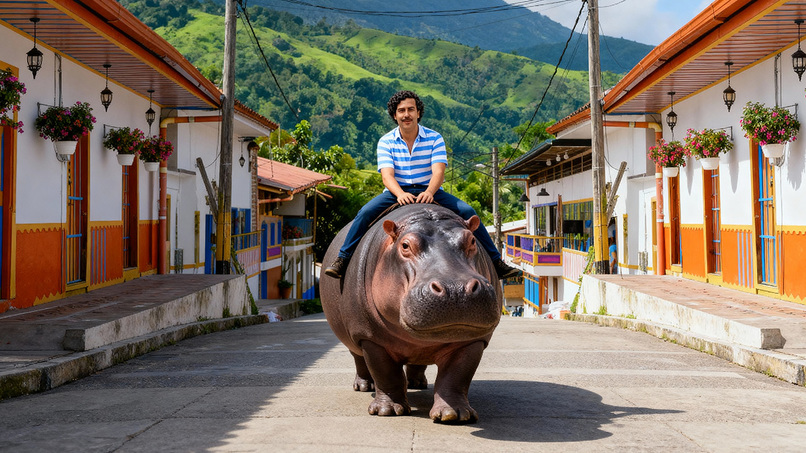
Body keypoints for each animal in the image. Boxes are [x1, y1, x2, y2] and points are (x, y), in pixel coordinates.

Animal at [320, 204, 502, 424]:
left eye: (472, 240)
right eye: (405, 245)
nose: (455, 289)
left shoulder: (473, 341)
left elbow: (457, 376)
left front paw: (455, 414)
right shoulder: (371, 339)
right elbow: (385, 373)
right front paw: (387, 410)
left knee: (418, 360)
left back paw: (417, 384)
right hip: (354, 337)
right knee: (359, 359)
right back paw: (363, 386)